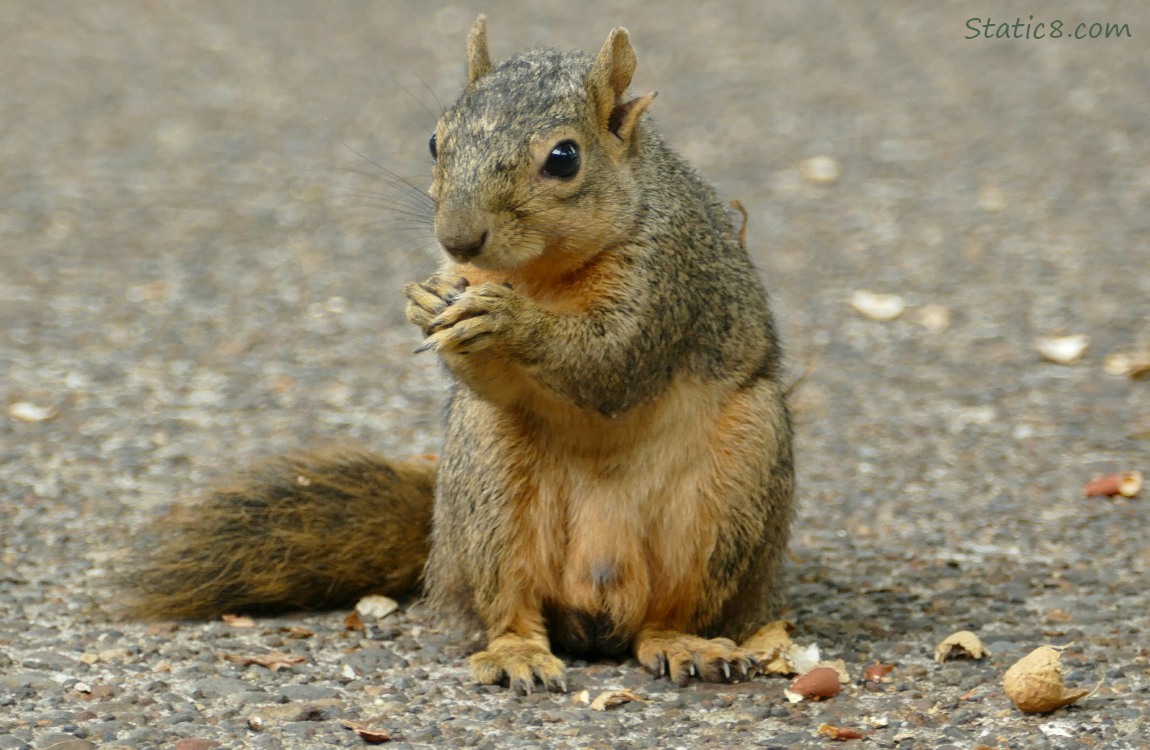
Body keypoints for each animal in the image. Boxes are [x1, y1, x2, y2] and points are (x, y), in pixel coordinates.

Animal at [125, 18, 791, 699]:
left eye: (564, 158)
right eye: (433, 140)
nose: (457, 239)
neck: (541, 273)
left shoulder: (666, 281)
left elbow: (612, 360)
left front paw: (510, 322)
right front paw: (426, 301)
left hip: (734, 486)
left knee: (670, 613)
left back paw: (685, 644)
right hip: (486, 480)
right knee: (509, 606)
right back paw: (518, 654)